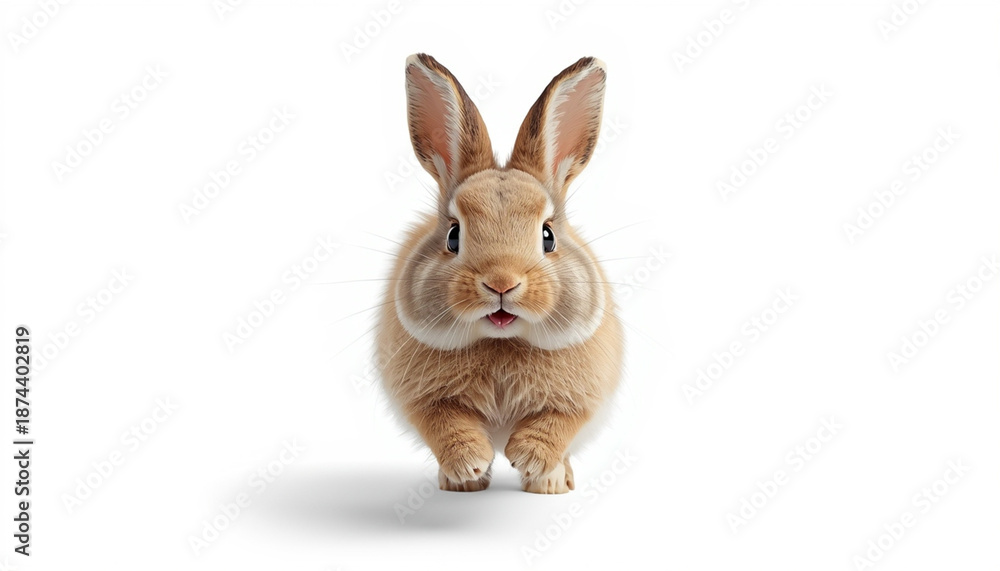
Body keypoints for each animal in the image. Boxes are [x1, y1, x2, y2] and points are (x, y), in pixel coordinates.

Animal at [375, 53, 623, 494]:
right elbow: (443, 423)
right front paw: (468, 463)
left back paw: (551, 483)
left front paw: (528, 457)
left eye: (548, 236)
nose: (502, 283)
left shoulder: (582, 398)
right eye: (454, 236)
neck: (501, 341)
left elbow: (559, 424)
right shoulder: (423, 399)